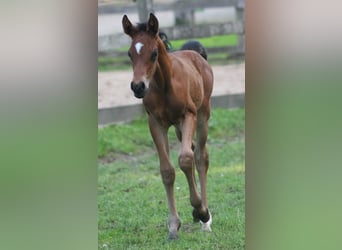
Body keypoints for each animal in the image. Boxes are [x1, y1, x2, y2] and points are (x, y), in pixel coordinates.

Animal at [122, 13, 214, 240]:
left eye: (154, 53)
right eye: (129, 54)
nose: (138, 87)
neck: (164, 86)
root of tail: (196, 54)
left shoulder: (188, 115)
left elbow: (185, 160)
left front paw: (201, 210)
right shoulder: (155, 123)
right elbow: (167, 170)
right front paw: (173, 225)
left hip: (202, 115)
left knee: (200, 156)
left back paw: (205, 218)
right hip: (180, 129)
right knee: (192, 151)